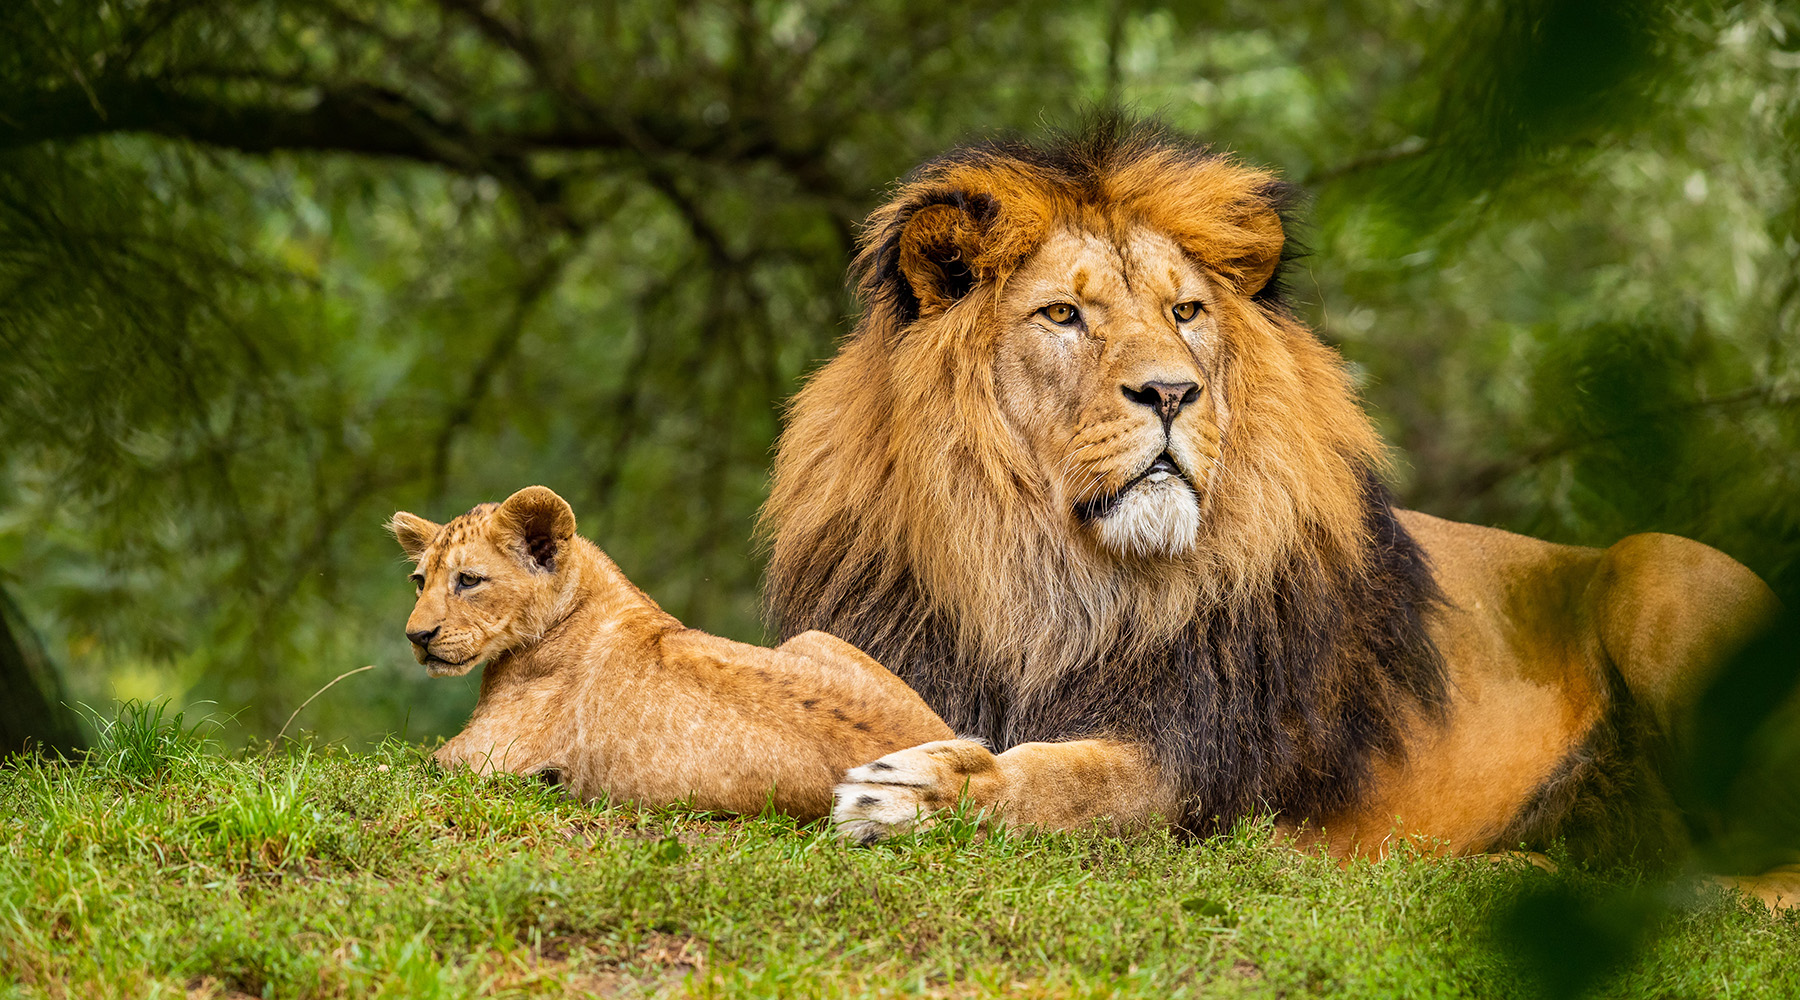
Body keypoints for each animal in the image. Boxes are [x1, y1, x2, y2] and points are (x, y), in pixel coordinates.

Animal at [763, 118, 1800, 906]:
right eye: (1063, 316)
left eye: (1184, 312)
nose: (1172, 393)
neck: (1050, 576)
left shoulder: (1196, 763)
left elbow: (1067, 780)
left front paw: (918, 791)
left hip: (1658, 568)